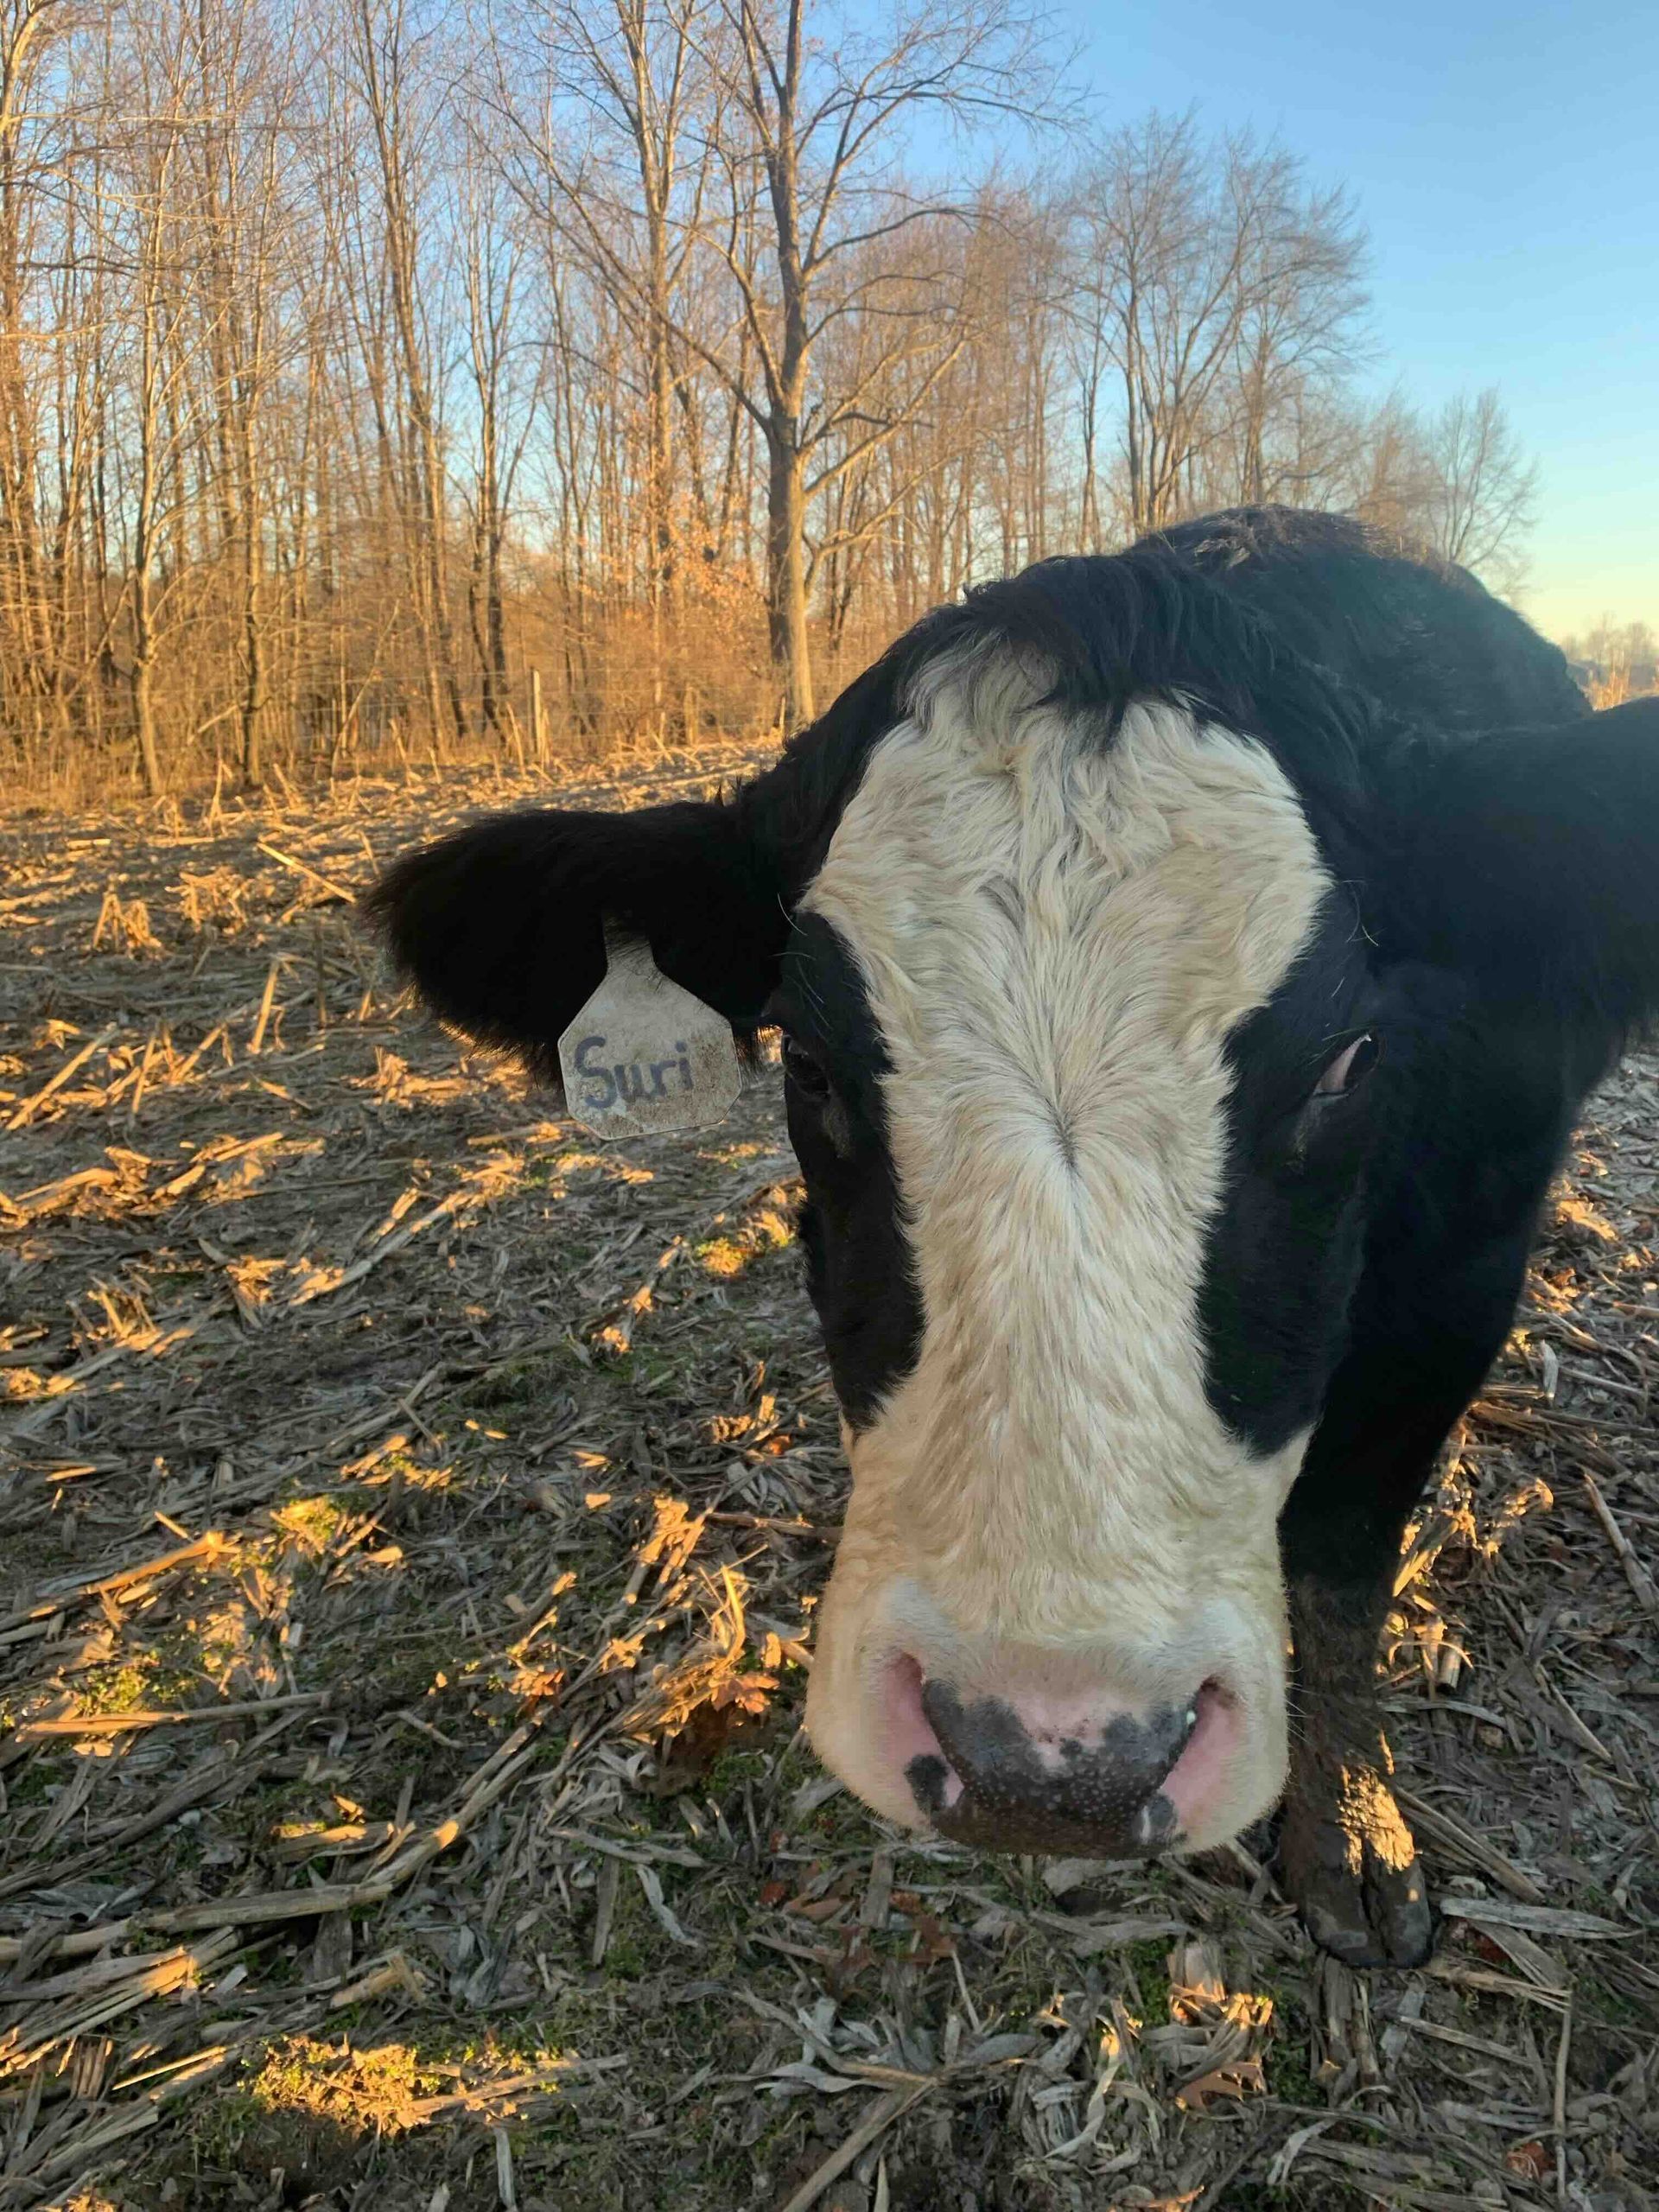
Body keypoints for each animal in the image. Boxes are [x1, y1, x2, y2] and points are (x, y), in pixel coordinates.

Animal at [368, 508, 1659, 1966]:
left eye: (1345, 1066)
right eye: (807, 1060)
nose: (1047, 1764)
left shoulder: (1461, 1275)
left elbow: (1342, 1564)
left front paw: (1353, 1833)